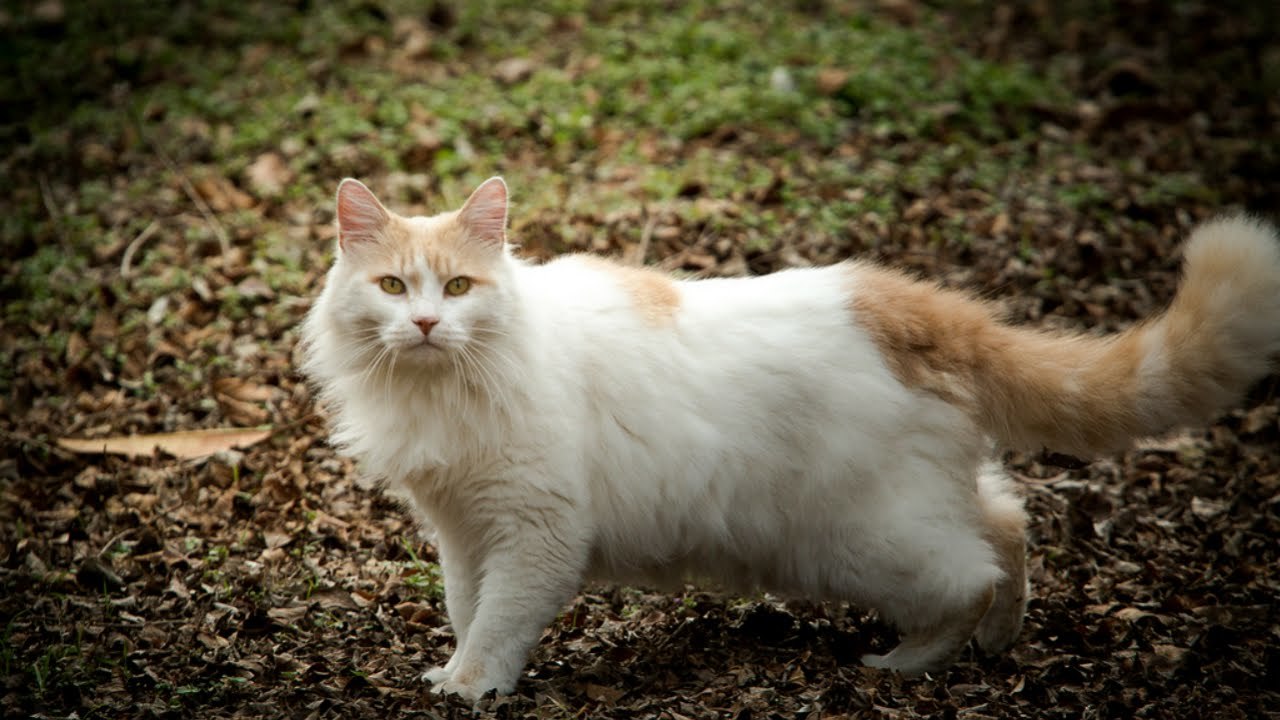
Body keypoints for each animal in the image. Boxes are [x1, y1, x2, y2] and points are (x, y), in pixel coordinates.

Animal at [302, 176, 1280, 696]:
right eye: (393, 287)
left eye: (459, 288)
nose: (427, 324)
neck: (443, 389)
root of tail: (897, 300)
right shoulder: (464, 530)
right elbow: (467, 608)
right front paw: (456, 673)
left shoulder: (534, 531)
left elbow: (500, 620)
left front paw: (472, 686)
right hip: (921, 501)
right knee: (1008, 525)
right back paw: (1001, 643)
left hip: (860, 539)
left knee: (969, 573)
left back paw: (902, 663)